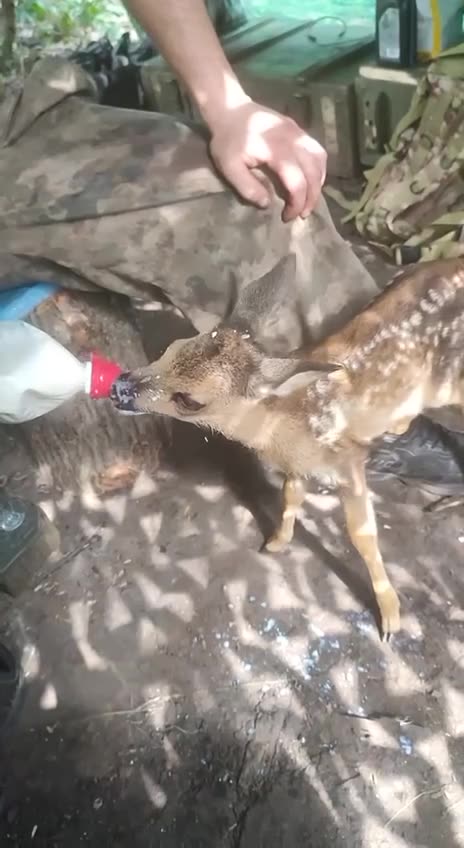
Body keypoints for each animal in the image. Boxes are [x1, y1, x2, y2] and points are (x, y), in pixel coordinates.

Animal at [110, 253, 464, 640]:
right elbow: (291, 496)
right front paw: (276, 543)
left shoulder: (348, 465)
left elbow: (362, 535)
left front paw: (390, 616)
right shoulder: (299, 464)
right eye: (169, 349)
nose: (119, 388)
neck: (286, 427)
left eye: (190, 400)